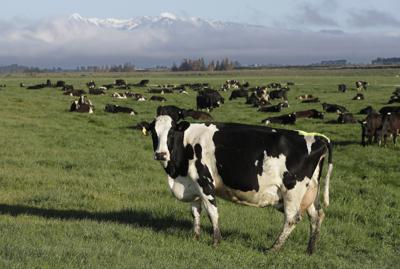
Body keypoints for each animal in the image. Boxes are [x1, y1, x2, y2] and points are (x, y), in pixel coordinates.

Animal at [142, 115, 332, 253]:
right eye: (154, 133)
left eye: (171, 133)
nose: (160, 154)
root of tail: (317, 137)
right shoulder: (193, 184)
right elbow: (195, 212)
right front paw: (195, 237)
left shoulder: (205, 182)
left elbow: (212, 212)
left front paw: (216, 241)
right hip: (310, 192)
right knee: (317, 215)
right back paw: (310, 249)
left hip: (293, 190)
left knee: (292, 218)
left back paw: (273, 248)